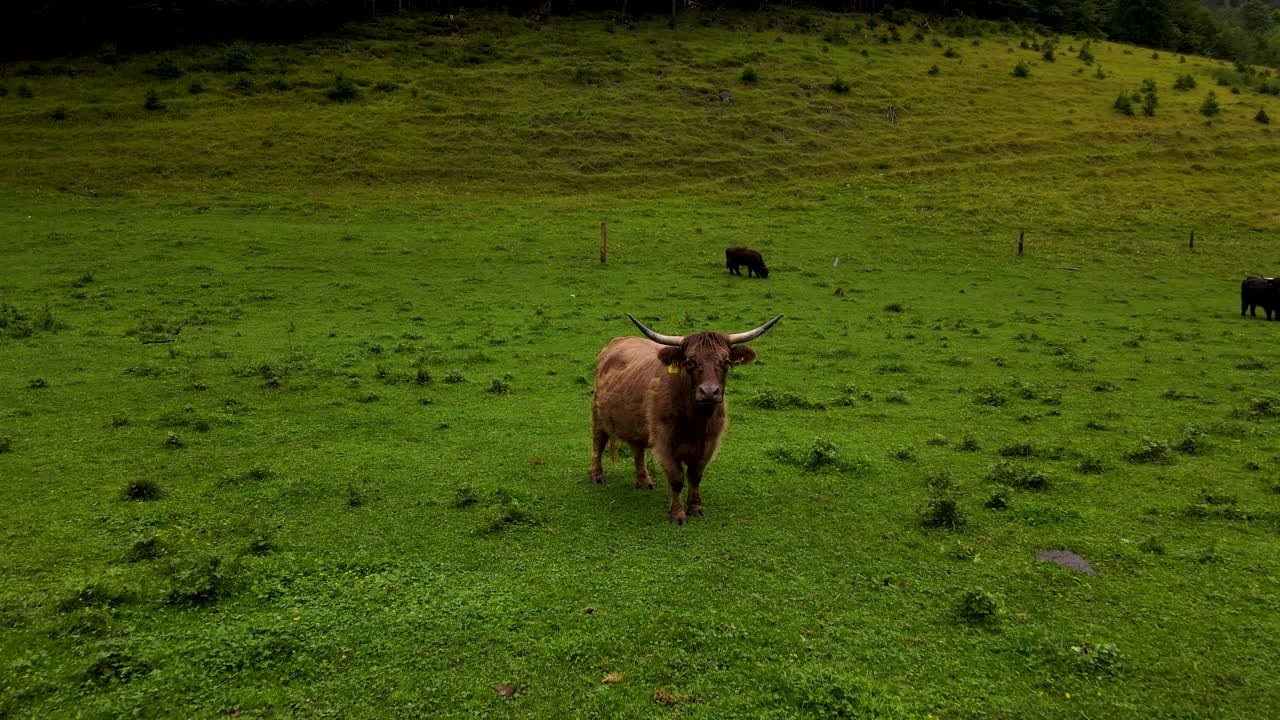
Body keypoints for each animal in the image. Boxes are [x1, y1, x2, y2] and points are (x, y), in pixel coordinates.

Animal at [590, 313, 782, 525]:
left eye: (726, 362)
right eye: (690, 361)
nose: (709, 392)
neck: (696, 422)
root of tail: (619, 340)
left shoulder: (709, 444)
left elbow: (695, 475)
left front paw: (696, 508)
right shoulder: (664, 443)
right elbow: (677, 478)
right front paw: (677, 514)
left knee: (637, 450)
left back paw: (644, 481)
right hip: (598, 416)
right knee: (598, 443)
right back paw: (597, 476)